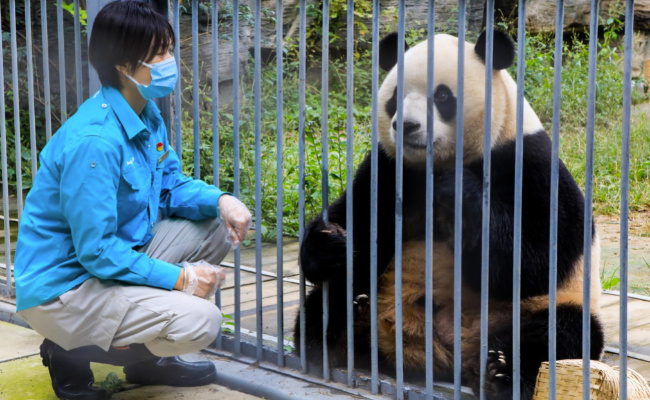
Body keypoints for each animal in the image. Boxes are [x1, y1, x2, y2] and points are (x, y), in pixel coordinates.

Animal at [294, 28, 604, 400]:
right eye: (395, 97)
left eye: (442, 96)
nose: (407, 126)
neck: (436, 164)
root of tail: (446, 351)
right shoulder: (390, 168)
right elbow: (359, 220)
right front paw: (328, 243)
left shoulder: (528, 161)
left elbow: (539, 255)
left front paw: (459, 193)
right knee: (328, 300)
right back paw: (345, 330)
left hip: (545, 308)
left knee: (561, 335)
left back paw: (499, 372)